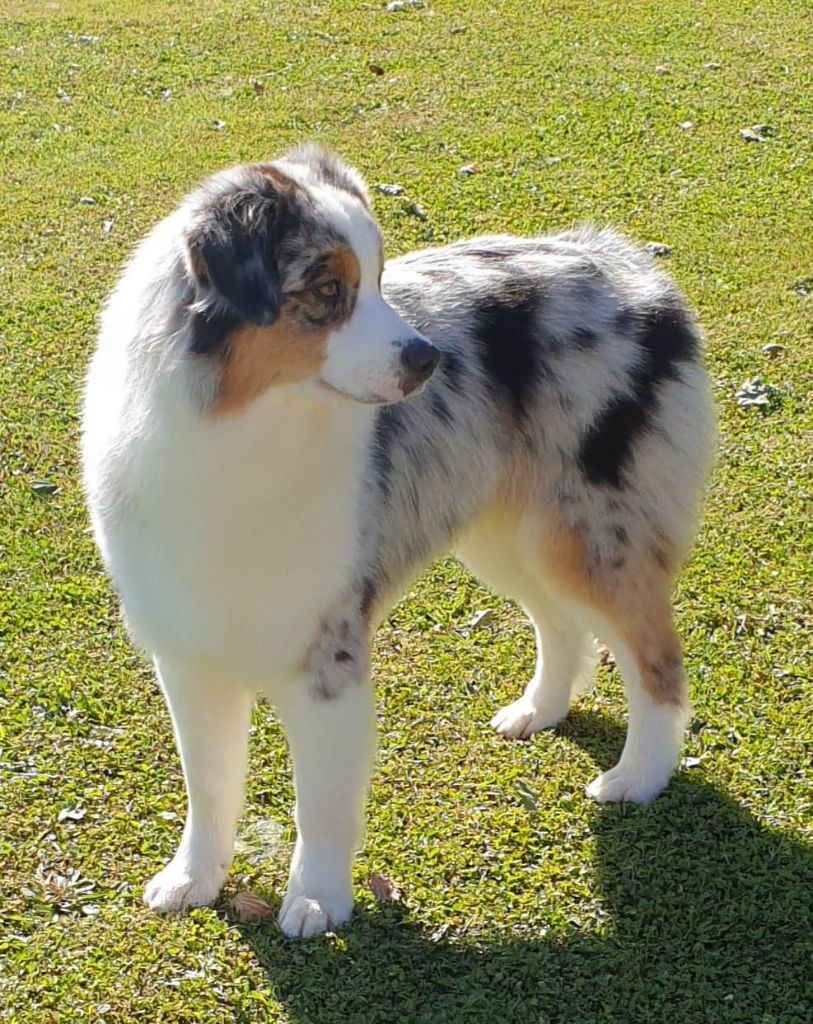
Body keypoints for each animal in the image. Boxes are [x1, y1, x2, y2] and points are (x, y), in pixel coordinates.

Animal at [82, 142, 712, 937]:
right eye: (327, 290)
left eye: (380, 278)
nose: (428, 359)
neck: (240, 430)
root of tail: (630, 267)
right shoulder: (188, 653)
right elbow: (208, 784)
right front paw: (193, 879)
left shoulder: (327, 651)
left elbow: (319, 800)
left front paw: (316, 900)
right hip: (509, 532)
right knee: (560, 623)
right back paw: (539, 710)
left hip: (590, 534)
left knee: (655, 656)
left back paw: (638, 777)